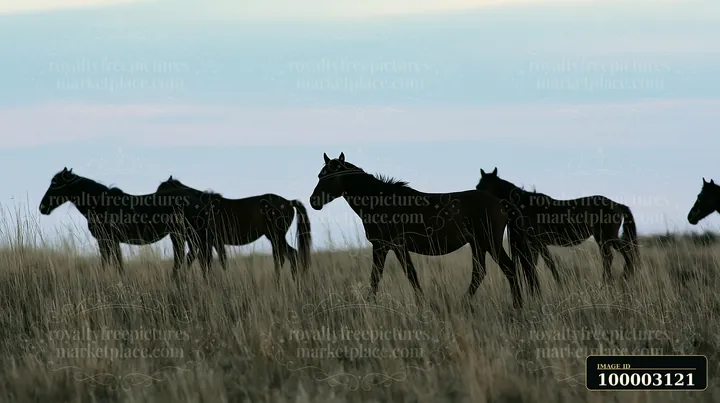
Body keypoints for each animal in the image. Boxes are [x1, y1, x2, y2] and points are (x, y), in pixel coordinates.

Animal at [39, 168, 213, 276]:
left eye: (55, 184)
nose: (43, 207)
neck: (101, 204)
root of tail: (198, 199)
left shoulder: (108, 239)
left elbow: (113, 263)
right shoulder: (109, 241)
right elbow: (113, 263)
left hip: (182, 234)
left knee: (185, 257)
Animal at [156, 176, 312, 281]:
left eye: (161, 191)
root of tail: (289, 202)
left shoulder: (208, 241)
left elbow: (207, 262)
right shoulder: (214, 242)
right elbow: (218, 261)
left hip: (276, 236)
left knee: (290, 255)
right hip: (274, 237)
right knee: (284, 257)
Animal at [309, 152, 532, 309]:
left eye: (331, 177)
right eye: (320, 175)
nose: (313, 201)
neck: (380, 201)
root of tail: (501, 204)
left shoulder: (389, 246)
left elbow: (398, 276)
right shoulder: (386, 247)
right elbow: (384, 277)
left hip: (489, 242)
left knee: (508, 269)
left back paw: (516, 306)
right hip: (478, 244)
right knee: (480, 273)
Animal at [475, 167, 639, 287]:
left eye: (487, 186)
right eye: (478, 185)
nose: (478, 201)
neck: (525, 205)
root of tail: (617, 205)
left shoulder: (536, 243)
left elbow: (543, 264)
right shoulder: (537, 244)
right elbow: (545, 264)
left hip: (607, 237)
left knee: (622, 253)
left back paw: (619, 278)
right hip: (603, 238)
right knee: (612, 256)